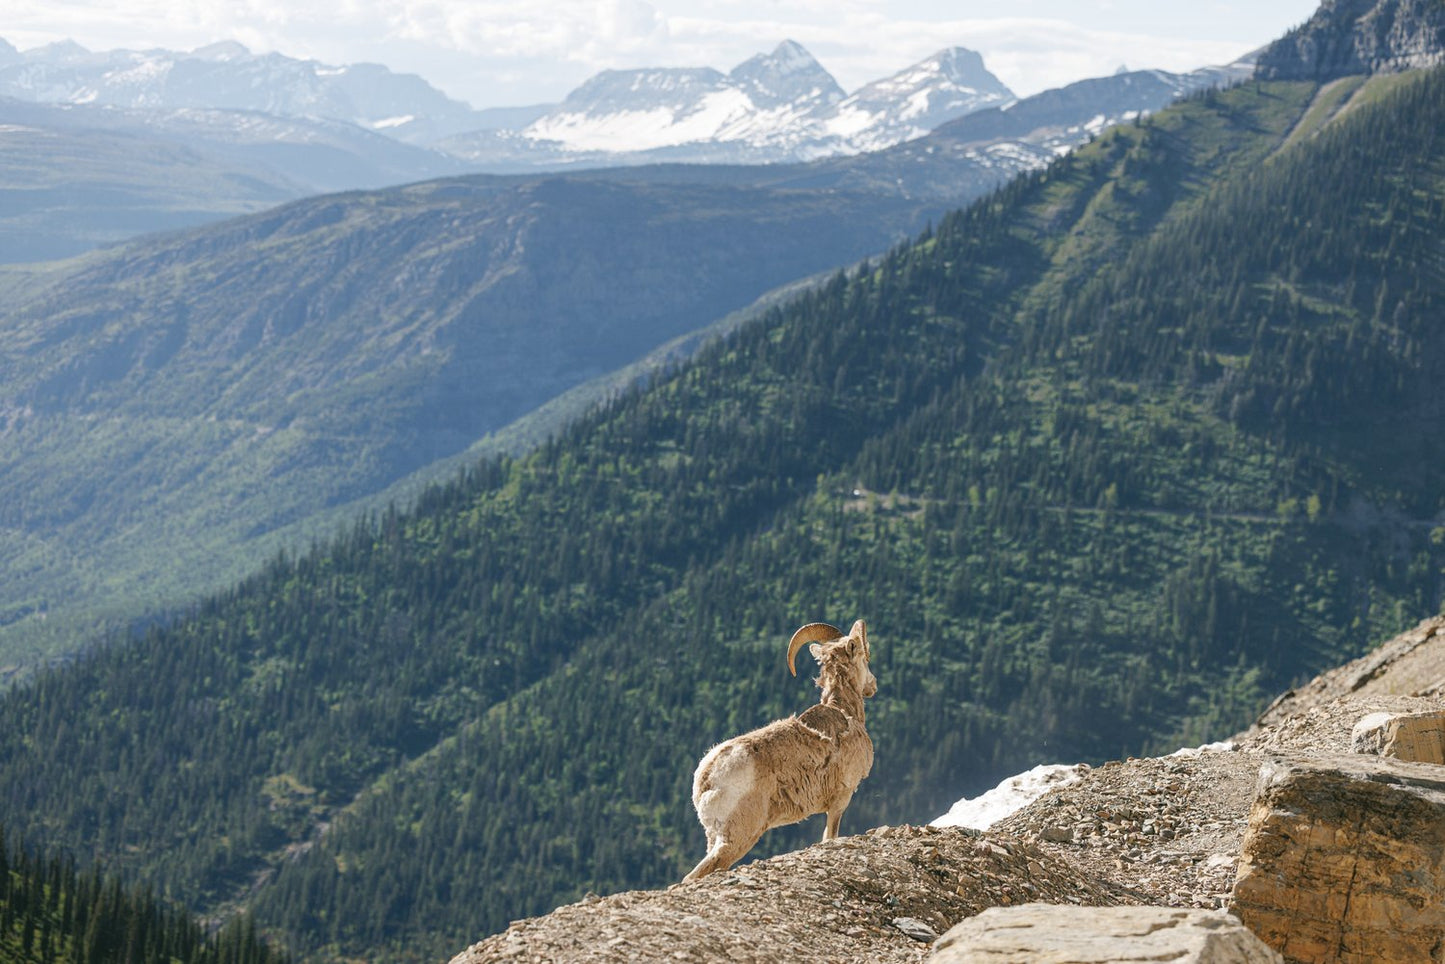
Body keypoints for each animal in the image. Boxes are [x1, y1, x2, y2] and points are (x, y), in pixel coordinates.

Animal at [682, 618, 872, 884]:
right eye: (865, 656)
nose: (872, 686)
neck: (844, 711)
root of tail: (707, 779)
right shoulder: (840, 800)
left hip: (716, 835)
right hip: (739, 835)